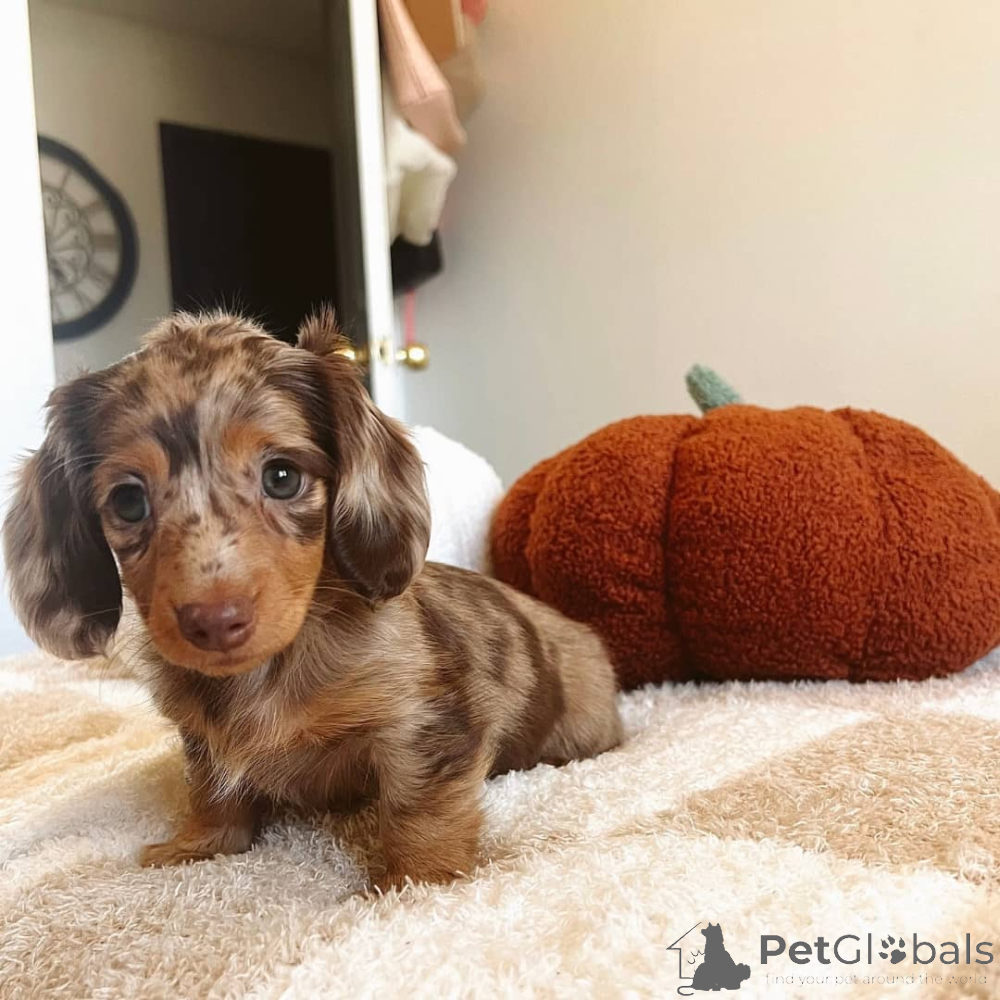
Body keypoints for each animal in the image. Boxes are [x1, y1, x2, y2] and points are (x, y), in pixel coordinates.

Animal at [2, 311, 622, 889]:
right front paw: (199, 846)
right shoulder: (203, 740)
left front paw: (416, 883)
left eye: (282, 477)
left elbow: (419, 806)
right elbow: (211, 791)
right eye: (128, 501)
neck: (268, 671)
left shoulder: (423, 718)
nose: (214, 622)